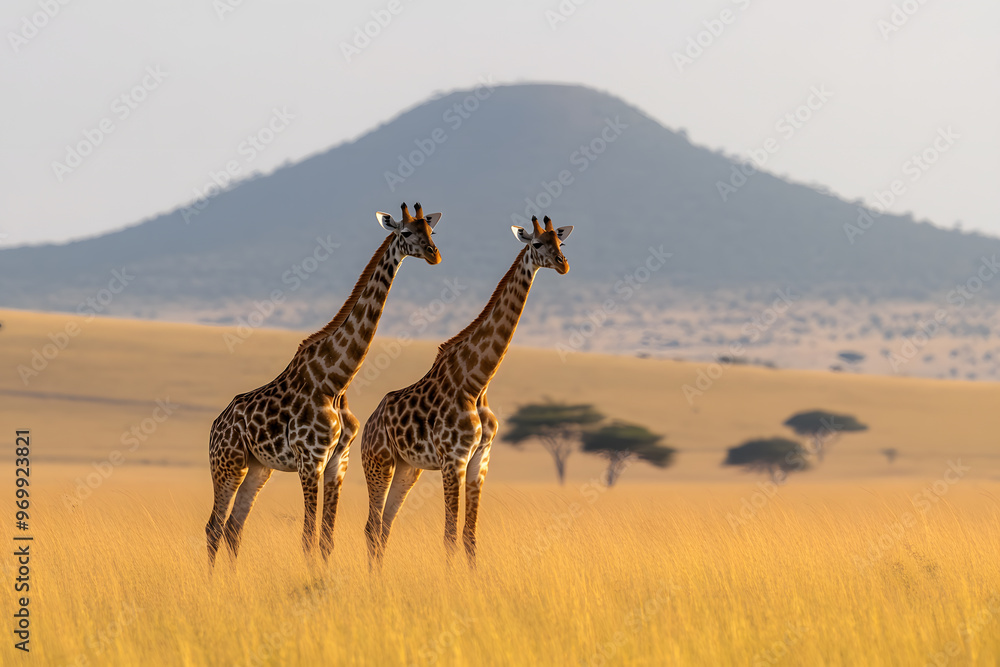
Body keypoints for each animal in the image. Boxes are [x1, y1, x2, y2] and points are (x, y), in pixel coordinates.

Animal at [206, 203, 443, 568]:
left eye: (431, 231)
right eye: (406, 232)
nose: (434, 254)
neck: (336, 381)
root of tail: (213, 429)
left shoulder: (337, 463)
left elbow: (327, 540)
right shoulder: (310, 460)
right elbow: (307, 538)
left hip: (258, 468)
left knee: (233, 526)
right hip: (227, 465)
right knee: (213, 528)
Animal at [360, 215, 573, 568]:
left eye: (561, 243)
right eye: (537, 243)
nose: (563, 264)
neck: (477, 383)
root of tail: (367, 424)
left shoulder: (479, 461)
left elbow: (469, 536)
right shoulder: (453, 460)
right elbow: (448, 535)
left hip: (407, 468)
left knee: (384, 525)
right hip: (379, 462)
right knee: (371, 526)